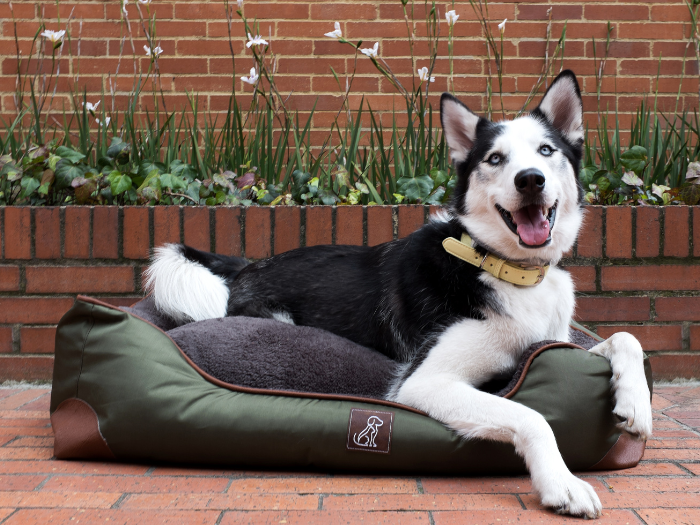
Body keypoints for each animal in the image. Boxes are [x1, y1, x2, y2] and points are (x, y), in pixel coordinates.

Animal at [145, 70, 652, 520]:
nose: (530, 179)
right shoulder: (424, 383)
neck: (502, 268)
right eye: (494, 159)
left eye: (547, 151)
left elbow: (626, 338)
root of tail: (248, 264)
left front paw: (635, 405)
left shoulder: (559, 338)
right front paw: (563, 483)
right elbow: (532, 415)